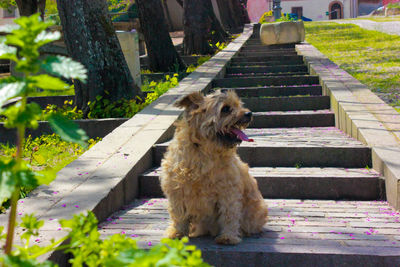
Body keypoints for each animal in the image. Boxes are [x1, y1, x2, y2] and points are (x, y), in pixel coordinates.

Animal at [159, 90, 268, 245]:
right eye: (226, 109)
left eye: (239, 105)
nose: (249, 113)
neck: (204, 151)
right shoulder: (177, 190)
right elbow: (179, 215)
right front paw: (177, 233)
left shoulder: (228, 192)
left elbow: (229, 215)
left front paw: (228, 236)